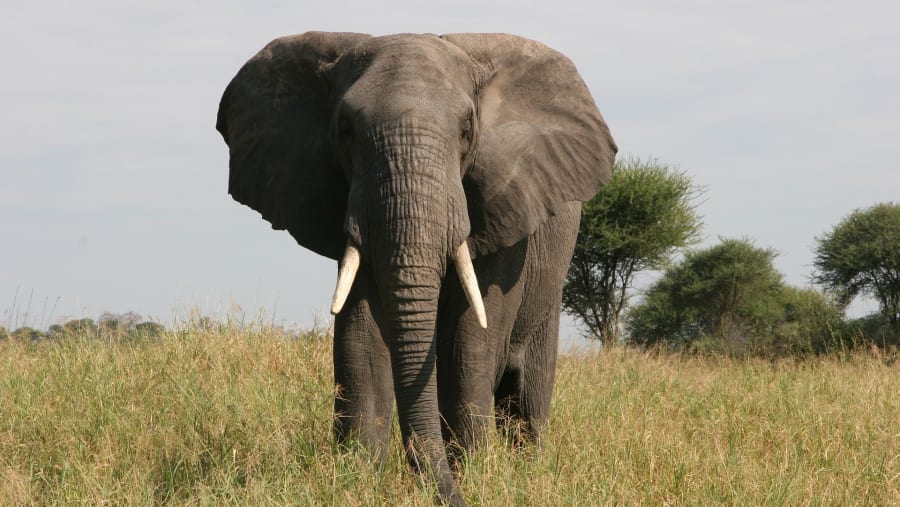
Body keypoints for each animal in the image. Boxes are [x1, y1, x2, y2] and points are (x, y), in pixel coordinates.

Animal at [216, 32, 616, 505]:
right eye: (345, 130)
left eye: (466, 131)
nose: (447, 494)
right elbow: (361, 342)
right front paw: (356, 482)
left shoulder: (504, 202)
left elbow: (469, 341)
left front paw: (472, 477)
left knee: (527, 396)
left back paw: (530, 470)